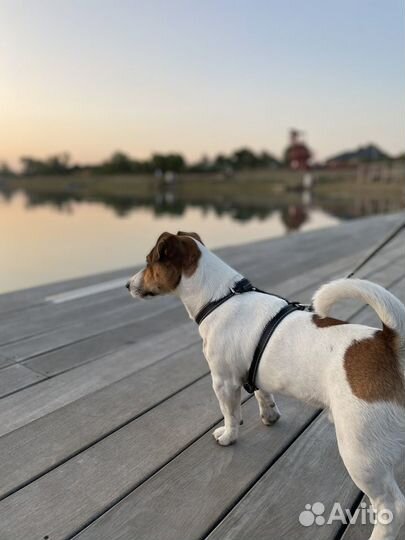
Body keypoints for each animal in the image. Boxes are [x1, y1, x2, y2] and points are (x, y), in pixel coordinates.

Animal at [126, 232, 404, 540]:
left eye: (149, 262)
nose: (127, 285)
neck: (219, 297)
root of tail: (389, 343)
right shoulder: (253, 369)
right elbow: (263, 394)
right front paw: (269, 416)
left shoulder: (223, 381)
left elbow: (230, 414)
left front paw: (228, 435)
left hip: (361, 454)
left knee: (391, 507)